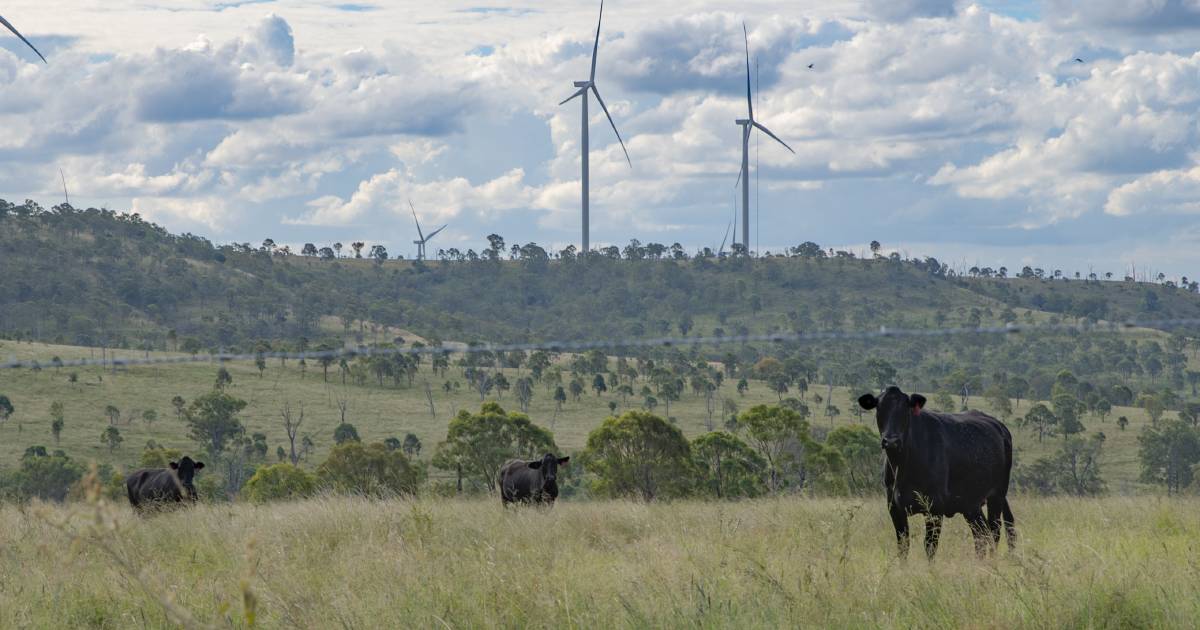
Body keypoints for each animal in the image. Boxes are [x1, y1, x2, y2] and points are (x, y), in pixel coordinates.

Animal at [859, 386, 1017, 556]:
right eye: (880, 408)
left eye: (905, 411)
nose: (891, 441)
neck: (902, 467)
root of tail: (1000, 427)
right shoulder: (895, 507)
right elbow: (903, 546)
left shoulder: (935, 507)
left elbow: (930, 546)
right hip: (971, 504)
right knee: (981, 534)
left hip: (996, 496)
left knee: (994, 532)